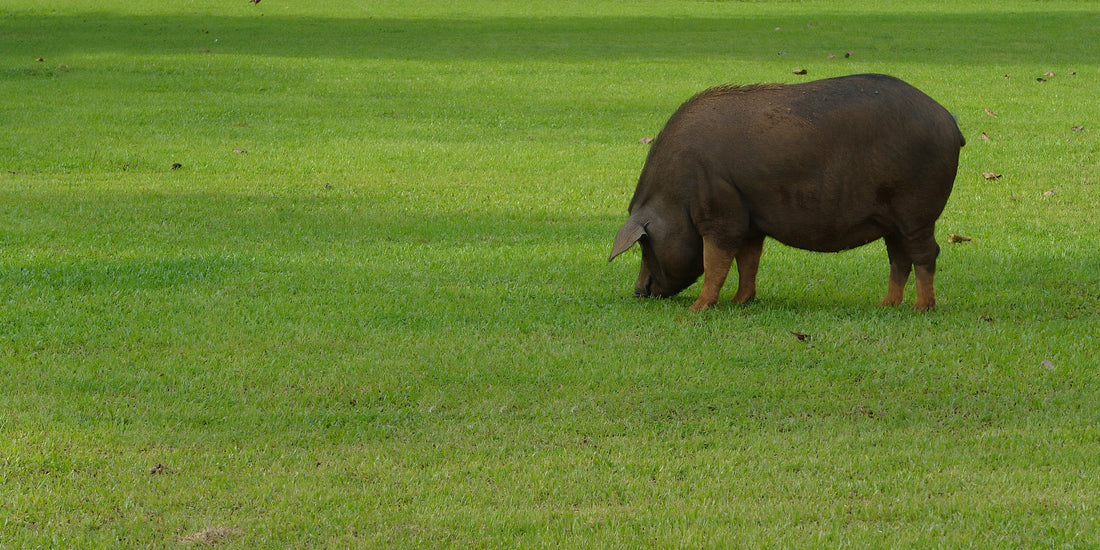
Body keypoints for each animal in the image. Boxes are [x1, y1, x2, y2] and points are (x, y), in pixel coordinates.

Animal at [611, 73, 963, 312]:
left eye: (644, 243)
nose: (638, 292)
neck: (674, 197)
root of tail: (950, 122)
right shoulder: (751, 222)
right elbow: (748, 262)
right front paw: (740, 302)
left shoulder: (722, 215)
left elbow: (716, 264)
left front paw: (697, 308)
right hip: (893, 221)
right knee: (898, 258)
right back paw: (886, 304)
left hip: (916, 212)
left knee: (926, 254)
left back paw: (921, 308)